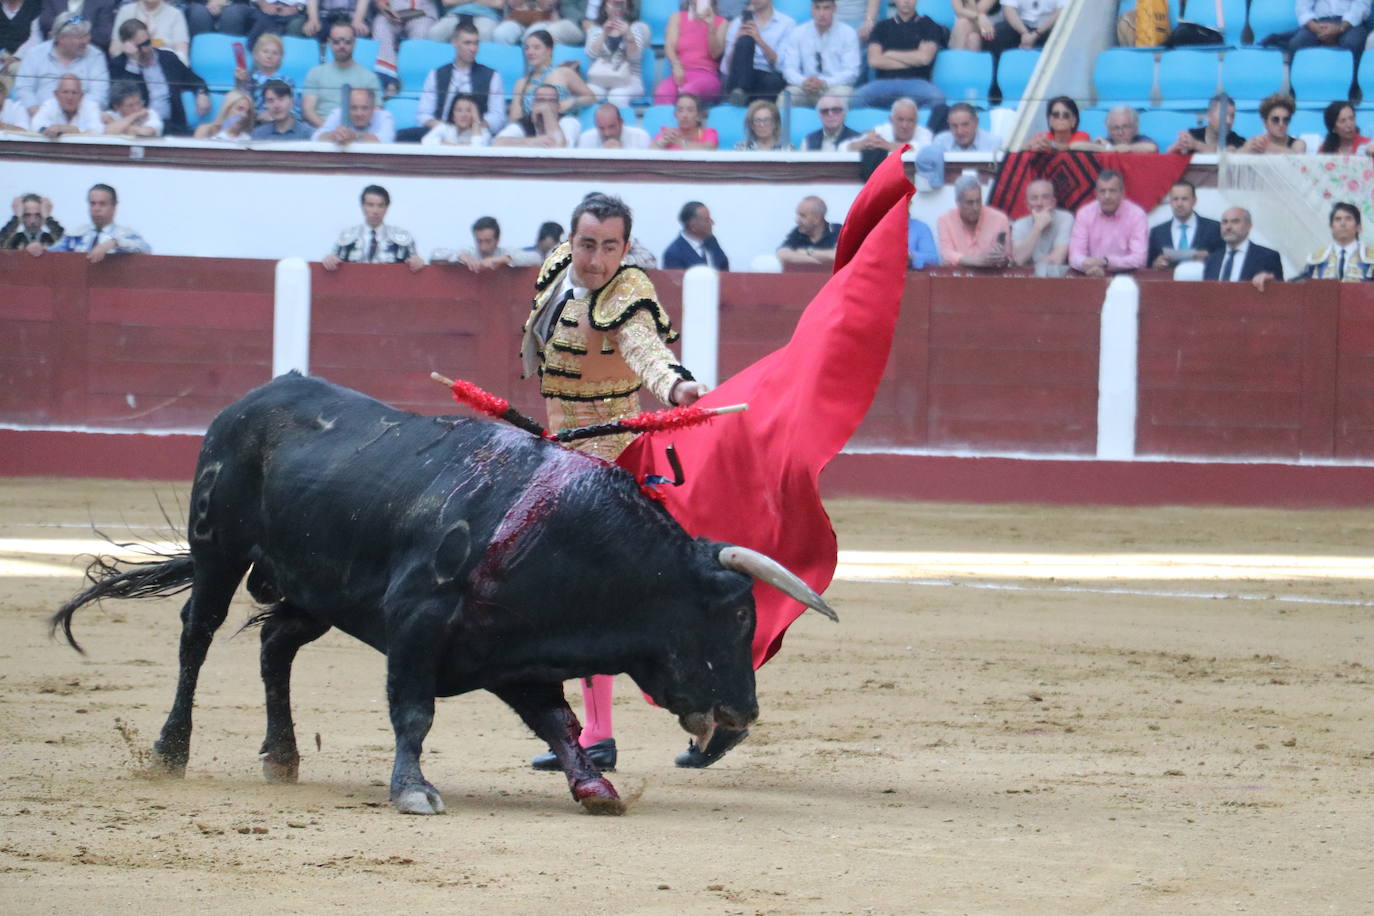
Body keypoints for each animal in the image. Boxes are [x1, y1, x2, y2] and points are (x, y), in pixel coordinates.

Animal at [53, 373, 835, 818]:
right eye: (736, 612)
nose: (743, 716)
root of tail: (250, 401)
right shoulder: (416, 625)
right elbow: (414, 711)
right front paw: (413, 790)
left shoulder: (514, 655)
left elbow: (559, 724)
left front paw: (594, 788)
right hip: (219, 545)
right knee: (198, 634)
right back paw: (170, 750)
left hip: (316, 592)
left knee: (276, 645)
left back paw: (282, 756)